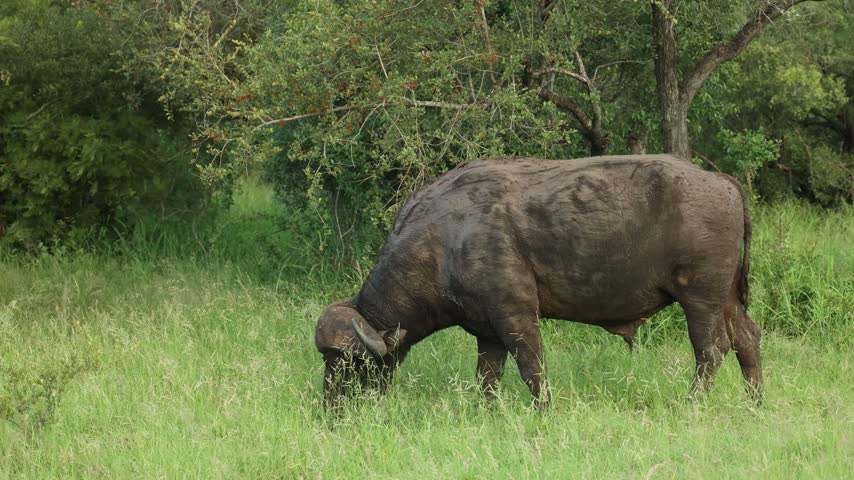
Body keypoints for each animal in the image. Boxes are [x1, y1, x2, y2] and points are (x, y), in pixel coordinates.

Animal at [315, 155, 763, 406]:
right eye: (326, 360)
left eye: (347, 362)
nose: (331, 406)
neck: (441, 242)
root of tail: (721, 181)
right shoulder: (487, 333)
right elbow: (487, 380)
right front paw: (486, 412)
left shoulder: (515, 316)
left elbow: (533, 368)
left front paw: (544, 410)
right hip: (726, 299)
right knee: (747, 339)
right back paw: (755, 402)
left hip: (700, 298)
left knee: (711, 350)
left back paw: (692, 403)